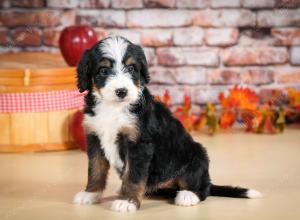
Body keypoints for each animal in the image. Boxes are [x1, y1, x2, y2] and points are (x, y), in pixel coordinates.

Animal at [73, 36, 262, 213]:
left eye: (131, 68)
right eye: (103, 70)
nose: (122, 92)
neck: (113, 108)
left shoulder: (139, 144)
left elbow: (133, 176)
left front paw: (127, 202)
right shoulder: (94, 137)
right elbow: (95, 169)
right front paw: (90, 194)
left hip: (197, 155)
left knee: (203, 188)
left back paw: (187, 196)